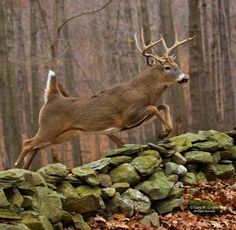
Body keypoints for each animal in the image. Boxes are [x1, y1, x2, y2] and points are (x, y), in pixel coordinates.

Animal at [14, 28, 194, 169]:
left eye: (177, 66)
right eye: (167, 67)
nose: (185, 78)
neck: (143, 91)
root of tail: (52, 97)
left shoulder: (138, 117)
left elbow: (163, 106)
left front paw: (165, 132)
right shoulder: (128, 116)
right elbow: (154, 107)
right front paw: (164, 132)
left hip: (62, 135)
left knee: (36, 147)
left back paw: (25, 169)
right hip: (49, 128)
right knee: (28, 143)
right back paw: (17, 164)